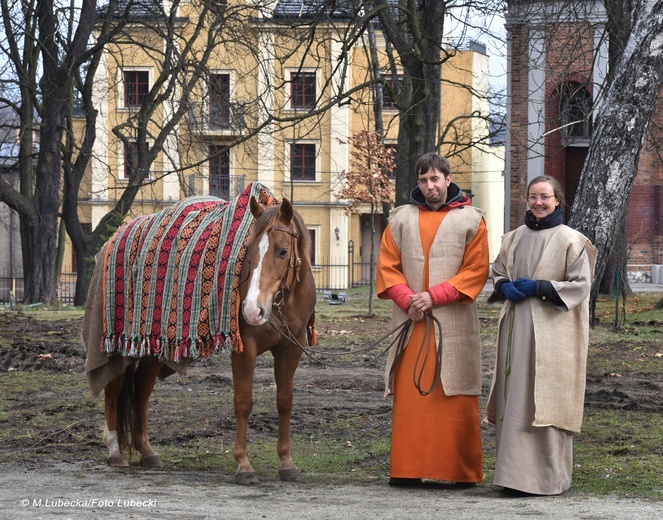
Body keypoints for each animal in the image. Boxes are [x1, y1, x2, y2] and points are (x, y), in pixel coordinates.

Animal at [83, 195, 316, 484]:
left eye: (283, 251)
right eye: (249, 250)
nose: (252, 310)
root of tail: (113, 239)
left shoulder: (291, 349)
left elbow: (284, 402)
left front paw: (286, 462)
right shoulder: (244, 348)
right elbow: (243, 402)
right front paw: (243, 465)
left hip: (156, 346)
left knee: (143, 390)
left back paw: (147, 451)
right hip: (119, 344)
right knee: (114, 388)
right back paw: (115, 451)